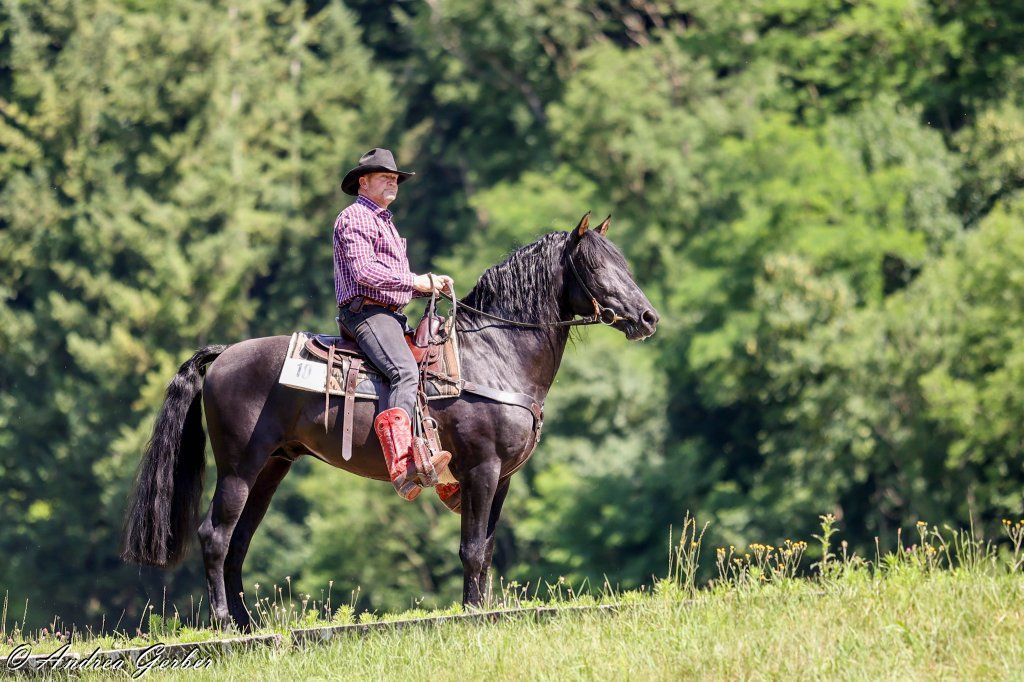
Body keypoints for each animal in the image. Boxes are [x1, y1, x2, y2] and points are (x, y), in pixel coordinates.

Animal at [120, 212, 659, 628]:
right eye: (597, 265)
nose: (648, 318)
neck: (494, 353)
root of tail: (225, 354)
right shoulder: (481, 468)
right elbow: (472, 550)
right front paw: (473, 615)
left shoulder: (501, 477)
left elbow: (484, 550)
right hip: (238, 467)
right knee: (215, 536)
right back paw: (224, 623)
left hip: (271, 467)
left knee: (237, 543)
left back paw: (248, 624)